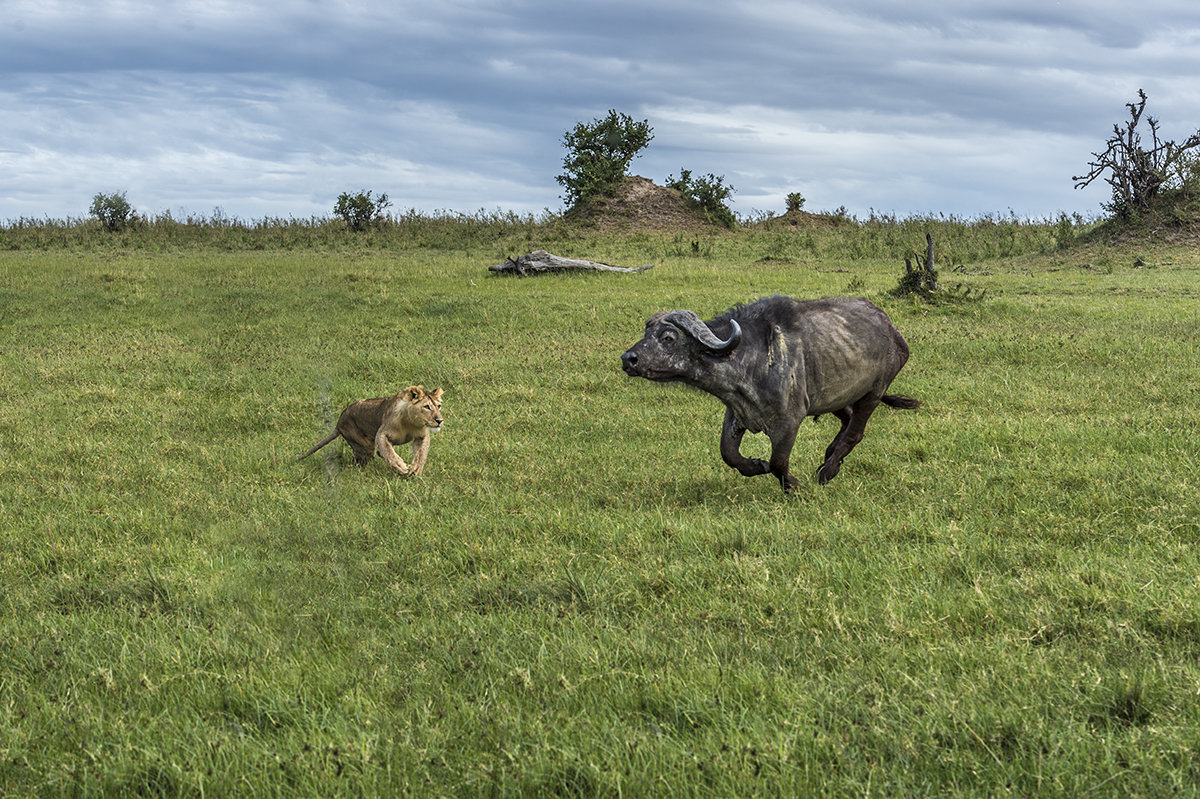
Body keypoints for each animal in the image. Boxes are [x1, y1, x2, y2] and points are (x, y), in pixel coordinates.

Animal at [300, 383, 446, 472]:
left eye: (439, 406)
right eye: (426, 407)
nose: (439, 420)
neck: (410, 422)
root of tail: (339, 422)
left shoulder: (422, 435)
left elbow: (421, 452)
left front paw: (416, 469)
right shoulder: (382, 433)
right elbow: (388, 451)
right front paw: (400, 467)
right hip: (364, 445)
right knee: (361, 459)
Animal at [619, 293, 916, 491]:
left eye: (668, 337)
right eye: (646, 333)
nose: (628, 359)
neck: (753, 357)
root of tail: (894, 333)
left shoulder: (789, 421)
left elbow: (777, 462)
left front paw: (793, 486)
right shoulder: (736, 413)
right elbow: (728, 454)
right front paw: (755, 466)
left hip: (874, 393)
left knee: (856, 430)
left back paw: (828, 470)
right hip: (833, 397)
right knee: (847, 418)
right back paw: (830, 455)